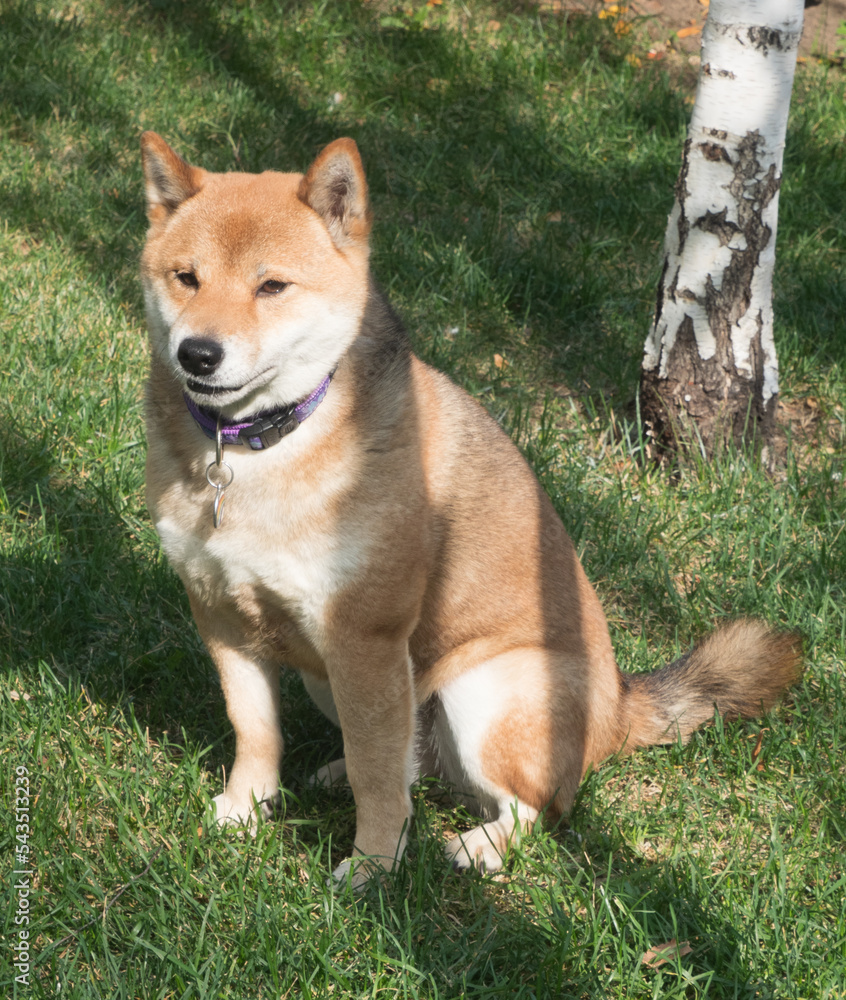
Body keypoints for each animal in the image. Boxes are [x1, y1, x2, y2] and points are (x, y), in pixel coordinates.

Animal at [139, 133, 800, 884]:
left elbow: (378, 777)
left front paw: (371, 868)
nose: (198, 353)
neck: (256, 449)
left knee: (534, 806)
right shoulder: (223, 618)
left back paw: (477, 847)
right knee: (415, 762)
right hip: (335, 681)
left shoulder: (363, 638)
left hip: (481, 690)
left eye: (272, 286)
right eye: (186, 277)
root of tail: (619, 709)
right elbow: (255, 731)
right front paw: (244, 811)